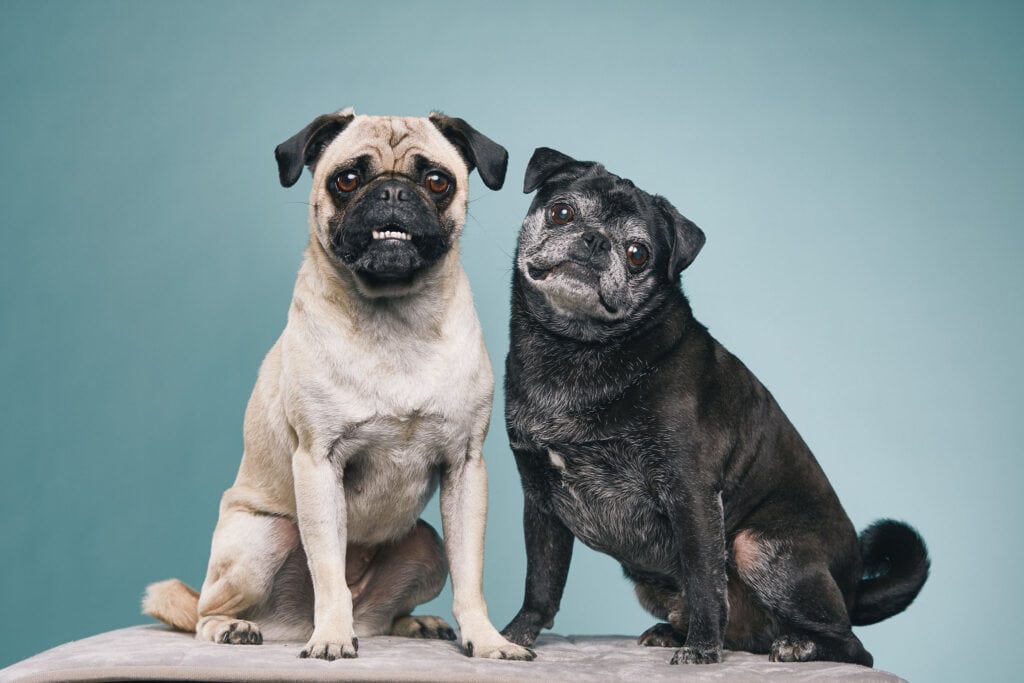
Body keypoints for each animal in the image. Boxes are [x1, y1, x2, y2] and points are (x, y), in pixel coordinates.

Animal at [144, 108, 536, 663]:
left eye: (437, 181)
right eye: (347, 179)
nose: (391, 190)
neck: (396, 321)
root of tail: (286, 622)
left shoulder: (465, 468)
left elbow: (471, 574)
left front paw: (485, 639)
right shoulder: (318, 463)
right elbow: (328, 568)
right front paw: (330, 635)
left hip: (427, 545)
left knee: (388, 610)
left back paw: (412, 624)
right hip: (263, 538)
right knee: (203, 612)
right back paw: (236, 627)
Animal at [499, 148, 933, 667]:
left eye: (638, 253)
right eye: (562, 212)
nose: (595, 240)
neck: (576, 350)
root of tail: (852, 589)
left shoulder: (691, 495)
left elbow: (706, 583)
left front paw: (703, 650)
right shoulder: (540, 502)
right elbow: (541, 583)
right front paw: (513, 637)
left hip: (757, 546)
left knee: (855, 648)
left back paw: (799, 644)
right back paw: (675, 631)